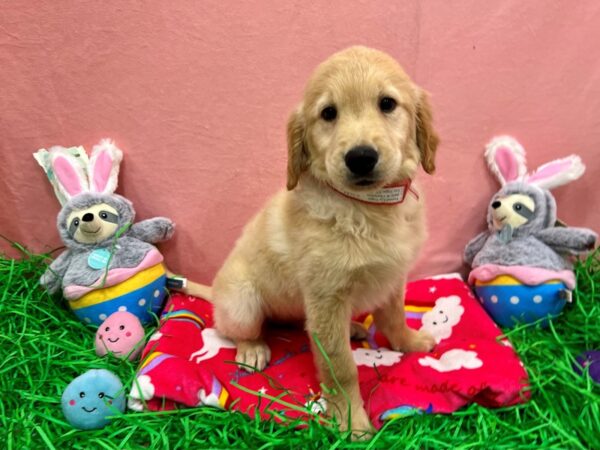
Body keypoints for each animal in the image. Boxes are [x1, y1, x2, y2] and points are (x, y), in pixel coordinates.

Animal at [190, 46, 438, 436]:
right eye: (328, 113)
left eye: (387, 103)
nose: (361, 157)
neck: (367, 208)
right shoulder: (327, 297)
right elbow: (341, 367)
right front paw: (352, 421)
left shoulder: (392, 277)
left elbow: (394, 317)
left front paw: (410, 342)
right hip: (243, 302)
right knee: (235, 328)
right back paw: (251, 349)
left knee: (299, 324)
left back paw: (353, 327)